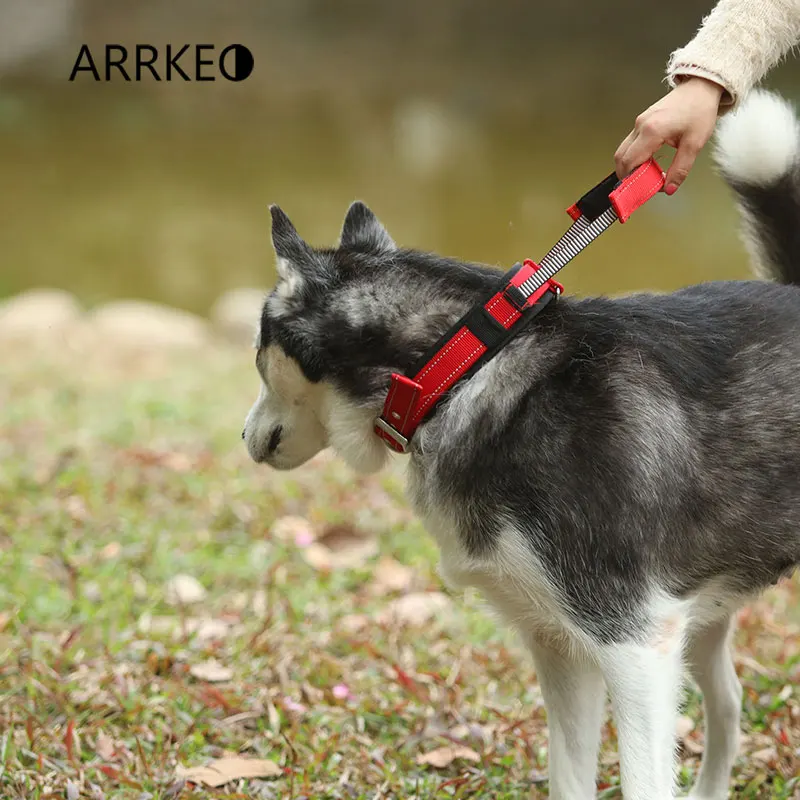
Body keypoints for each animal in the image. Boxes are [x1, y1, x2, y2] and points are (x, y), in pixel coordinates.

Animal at [244, 90, 800, 796]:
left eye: (256, 351)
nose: (244, 437)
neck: (462, 368)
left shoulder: (633, 646)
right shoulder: (563, 645)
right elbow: (570, 777)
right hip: (701, 617)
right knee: (728, 707)